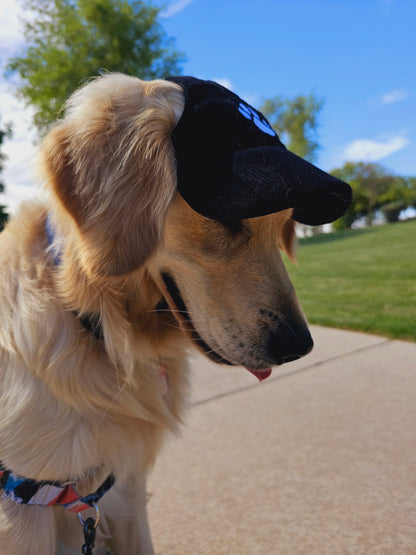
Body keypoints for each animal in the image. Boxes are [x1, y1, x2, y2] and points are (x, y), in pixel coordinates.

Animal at [0, 75, 352, 555]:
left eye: (283, 223)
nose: (299, 347)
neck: (96, 324)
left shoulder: (120, 494)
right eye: (225, 218)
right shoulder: (23, 512)